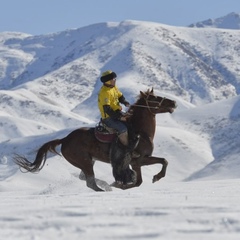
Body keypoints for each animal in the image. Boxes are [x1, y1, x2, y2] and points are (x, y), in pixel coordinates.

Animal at [14, 88, 177, 191]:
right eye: (155, 98)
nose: (173, 103)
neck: (140, 132)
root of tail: (65, 140)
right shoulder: (137, 161)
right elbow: (140, 180)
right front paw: (121, 184)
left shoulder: (139, 161)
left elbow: (163, 162)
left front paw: (155, 177)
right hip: (85, 161)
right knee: (90, 182)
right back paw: (105, 188)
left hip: (88, 161)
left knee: (84, 178)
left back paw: (105, 185)